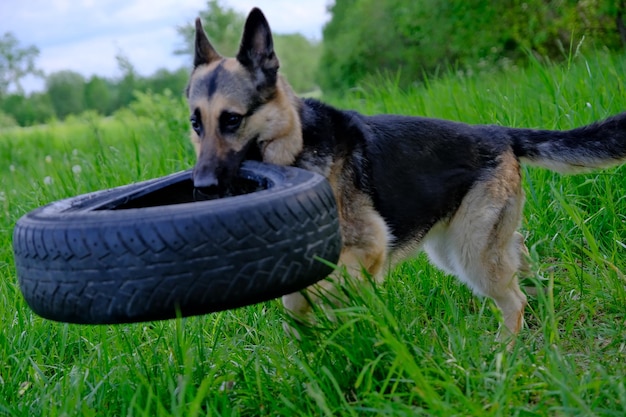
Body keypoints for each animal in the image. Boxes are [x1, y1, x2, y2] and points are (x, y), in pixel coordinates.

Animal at [185, 7, 624, 338]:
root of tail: (500, 132)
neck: (298, 143)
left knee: (513, 300)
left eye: (232, 120)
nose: (202, 187)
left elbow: (321, 292)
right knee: (519, 259)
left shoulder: (368, 248)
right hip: (460, 247)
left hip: (470, 253)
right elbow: (297, 301)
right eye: (195, 123)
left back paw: (504, 356)